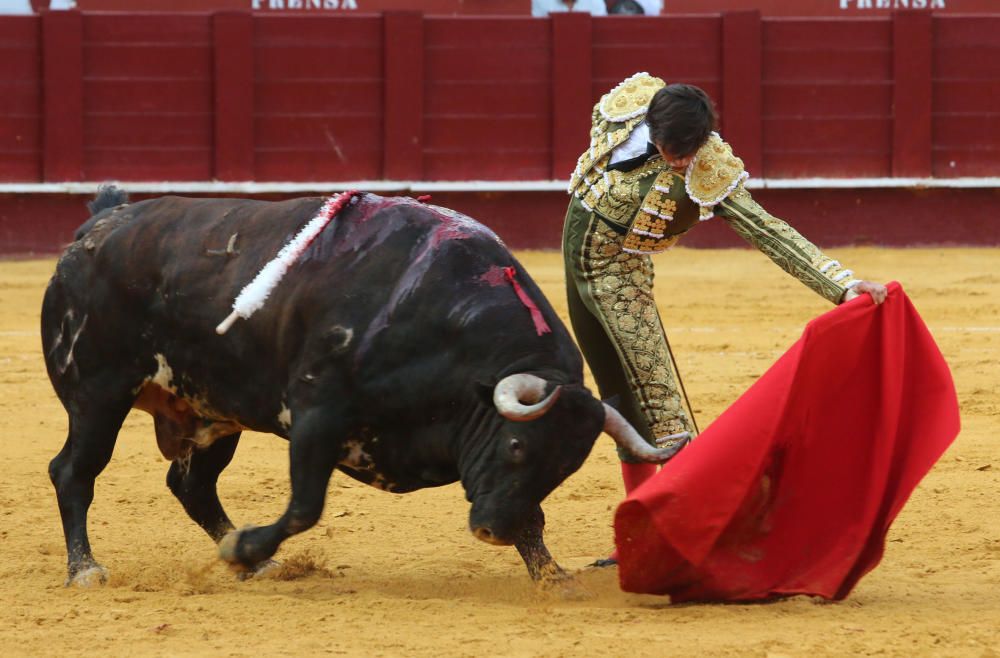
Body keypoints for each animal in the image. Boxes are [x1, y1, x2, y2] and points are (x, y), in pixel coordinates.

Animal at [41, 187, 688, 588]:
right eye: (515, 446)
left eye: (563, 469)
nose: (490, 532)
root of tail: (99, 224)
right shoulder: (316, 413)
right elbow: (305, 506)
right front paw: (253, 545)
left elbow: (532, 516)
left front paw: (553, 579)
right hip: (98, 393)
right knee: (74, 471)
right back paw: (87, 570)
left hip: (211, 411)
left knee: (192, 486)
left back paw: (245, 561)